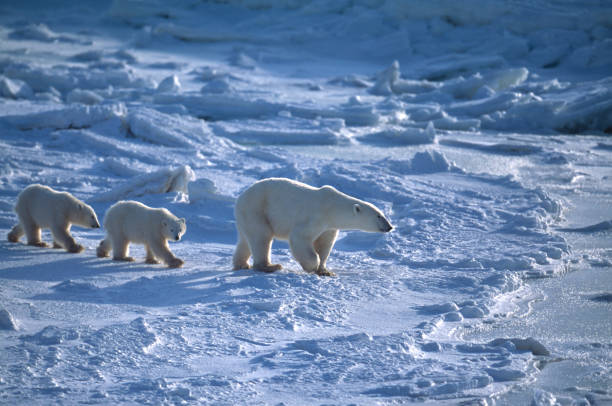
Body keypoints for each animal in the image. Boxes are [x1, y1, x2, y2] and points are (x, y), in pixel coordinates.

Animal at [232, 178, 394, 276]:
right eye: (379, 216)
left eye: (382, 214)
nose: (390, 227)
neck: (332, 207)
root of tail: (241, 198)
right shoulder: (315, 217)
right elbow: (299, 237)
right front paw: (312, 266)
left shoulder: (329, 226)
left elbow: (324, 244)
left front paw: (325, 271)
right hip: (257, 209)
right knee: (262, 237)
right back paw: (270, 266)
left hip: (247, 215)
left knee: (246, 240)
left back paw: (241, 264)